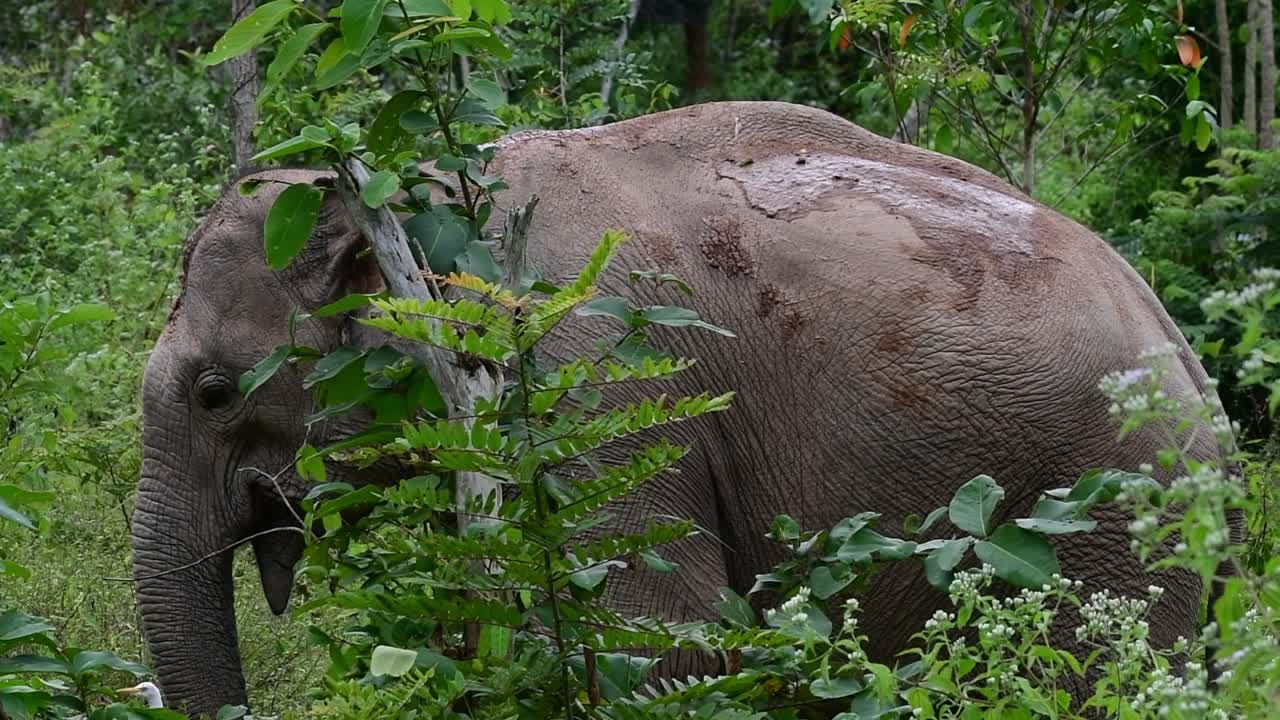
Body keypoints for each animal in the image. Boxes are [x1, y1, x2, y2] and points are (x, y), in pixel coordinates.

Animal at [133, 101, 1228, 716]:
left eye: (215, 393)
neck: (426, 191)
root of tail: (1183, 352)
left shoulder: (589, 378)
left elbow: (654, 640)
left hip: (1113, 506)